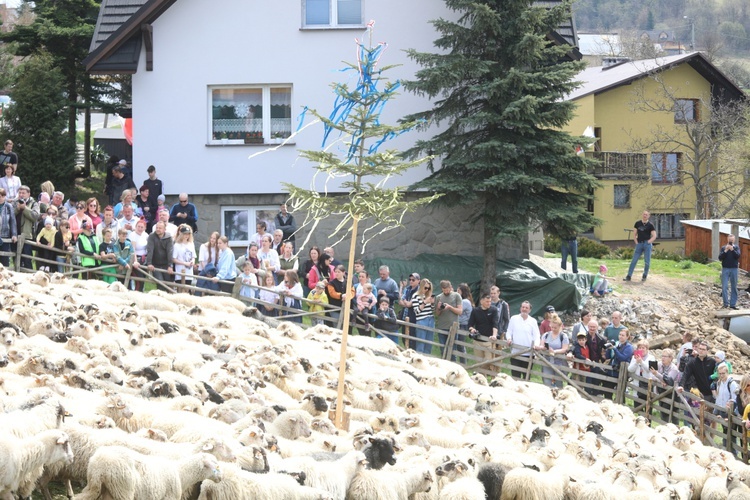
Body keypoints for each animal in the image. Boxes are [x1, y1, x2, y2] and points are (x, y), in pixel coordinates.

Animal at [75, 448, 225, 500]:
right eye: (215, 465)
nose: (221, 477)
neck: (180, 473)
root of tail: (99, 467)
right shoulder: (169, 497)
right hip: (122, 489)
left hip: (98, 487)